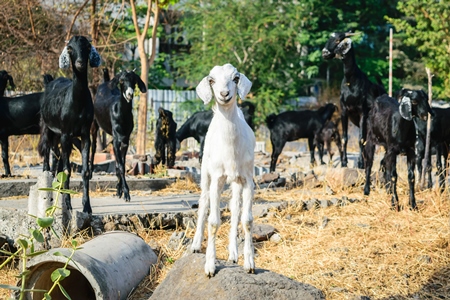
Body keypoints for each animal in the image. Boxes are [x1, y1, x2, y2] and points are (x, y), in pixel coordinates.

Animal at [38, 35, 100, 213]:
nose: (80, 63)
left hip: (63, 137)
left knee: (57, 156)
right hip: (47, 128)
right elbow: (67, 170)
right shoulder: (65, 133)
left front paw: (87, 207)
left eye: (88, 47)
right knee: (47, 154)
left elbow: (84, 171)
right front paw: (68, 205)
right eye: (70, 48)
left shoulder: (85, 133)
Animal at [90, 70, 147, 202]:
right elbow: (120, 166)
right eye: (121, 81)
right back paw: (89, 172)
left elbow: (121, 164)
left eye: (134, 80)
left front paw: (119, 190)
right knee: (93, 146)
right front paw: (126, 193)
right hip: (94, 125)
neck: (122, 114)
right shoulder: (117, 140)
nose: (130, 93)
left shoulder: (125, 140)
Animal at [324, 32, 386, 169]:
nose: (324, 52)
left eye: (338, 40)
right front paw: (344, 162)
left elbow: (360, 139)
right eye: (329, 38)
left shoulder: (362, 112)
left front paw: (360, 164)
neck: (350, 80)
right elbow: (345, 138)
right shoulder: (344, 111)